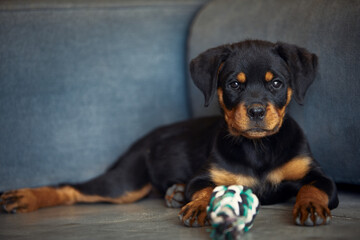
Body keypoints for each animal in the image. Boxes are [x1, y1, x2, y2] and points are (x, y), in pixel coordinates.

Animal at [0, 39, 338, 227]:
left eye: (276, 83)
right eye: (234, 84)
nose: (256, 112)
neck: (258, 148)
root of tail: (143, 140)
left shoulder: (321, 177)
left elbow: (313, 187)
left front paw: (310, 206)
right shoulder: (204, 177)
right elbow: (205, 190)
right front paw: (197, 206)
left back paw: (173, 192)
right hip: (125, 183)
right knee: (72, 188)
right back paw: (24, 197)